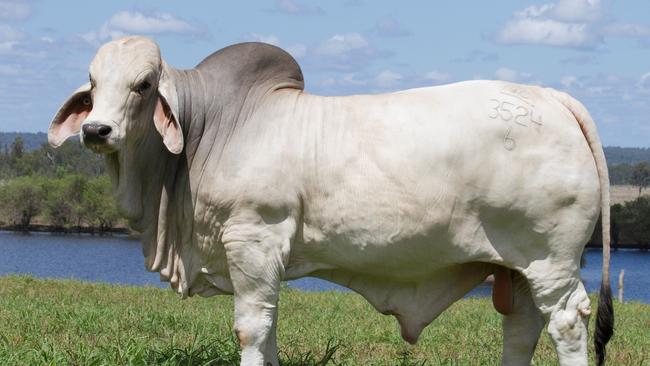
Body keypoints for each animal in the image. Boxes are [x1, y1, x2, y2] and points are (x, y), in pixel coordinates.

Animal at [48, 36, 612, 366]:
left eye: (143, 84)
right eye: (94, 84)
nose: (97, 130)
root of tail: (552, 97)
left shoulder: (253, 240)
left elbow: (251, 329)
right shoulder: (262, 261)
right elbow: (269, 330)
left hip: (551, 260)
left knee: (565, 323)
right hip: (517, 268)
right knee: (521, 329)